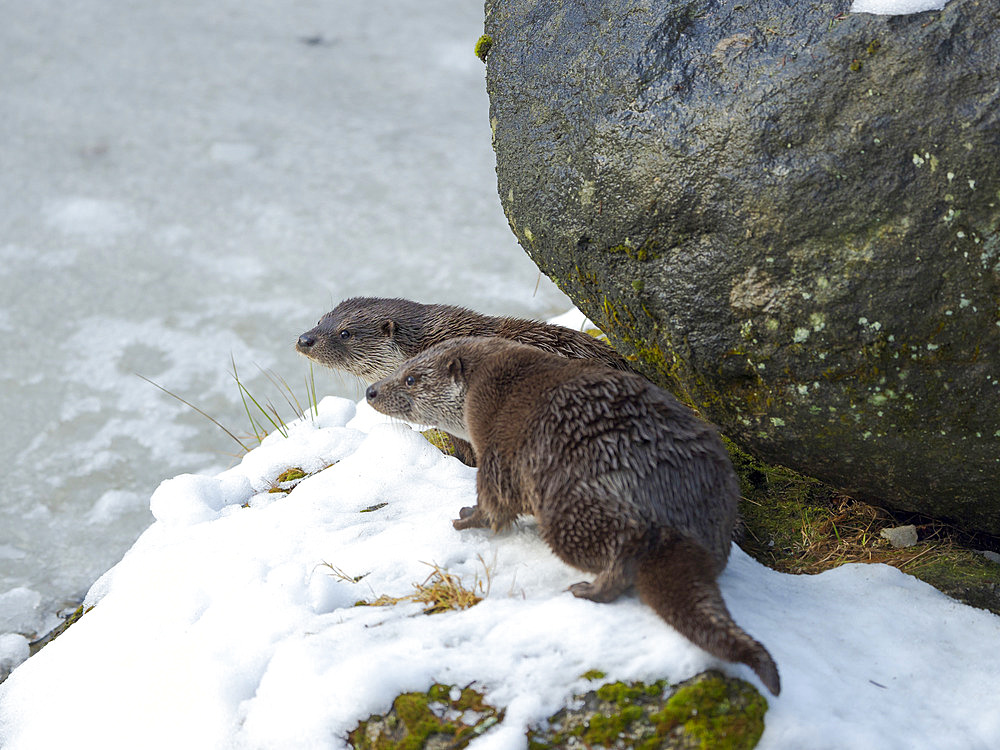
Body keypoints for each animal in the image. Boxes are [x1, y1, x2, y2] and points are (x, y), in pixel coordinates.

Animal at [368, 338, 780, 696]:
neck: (485, 379)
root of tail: (671, 507)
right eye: (400, 366)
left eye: (411, 378)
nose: (371, 391)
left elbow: (495, 496)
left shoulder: (494, 439)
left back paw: (589, 590)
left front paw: (467, 517)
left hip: (571, 509)